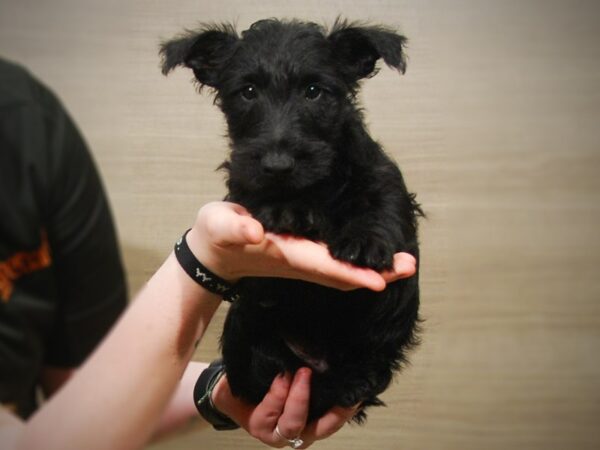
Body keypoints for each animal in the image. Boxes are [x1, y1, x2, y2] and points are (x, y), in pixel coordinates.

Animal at [159, 18, 422, 422]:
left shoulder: (382, 177)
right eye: (248, 92)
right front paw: (285, 209)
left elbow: (384, 202)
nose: (278, 165)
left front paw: (364, 240)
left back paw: (354, 380)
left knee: (367, 364)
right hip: (245, 330)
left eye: (314, 91)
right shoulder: (243, 189)